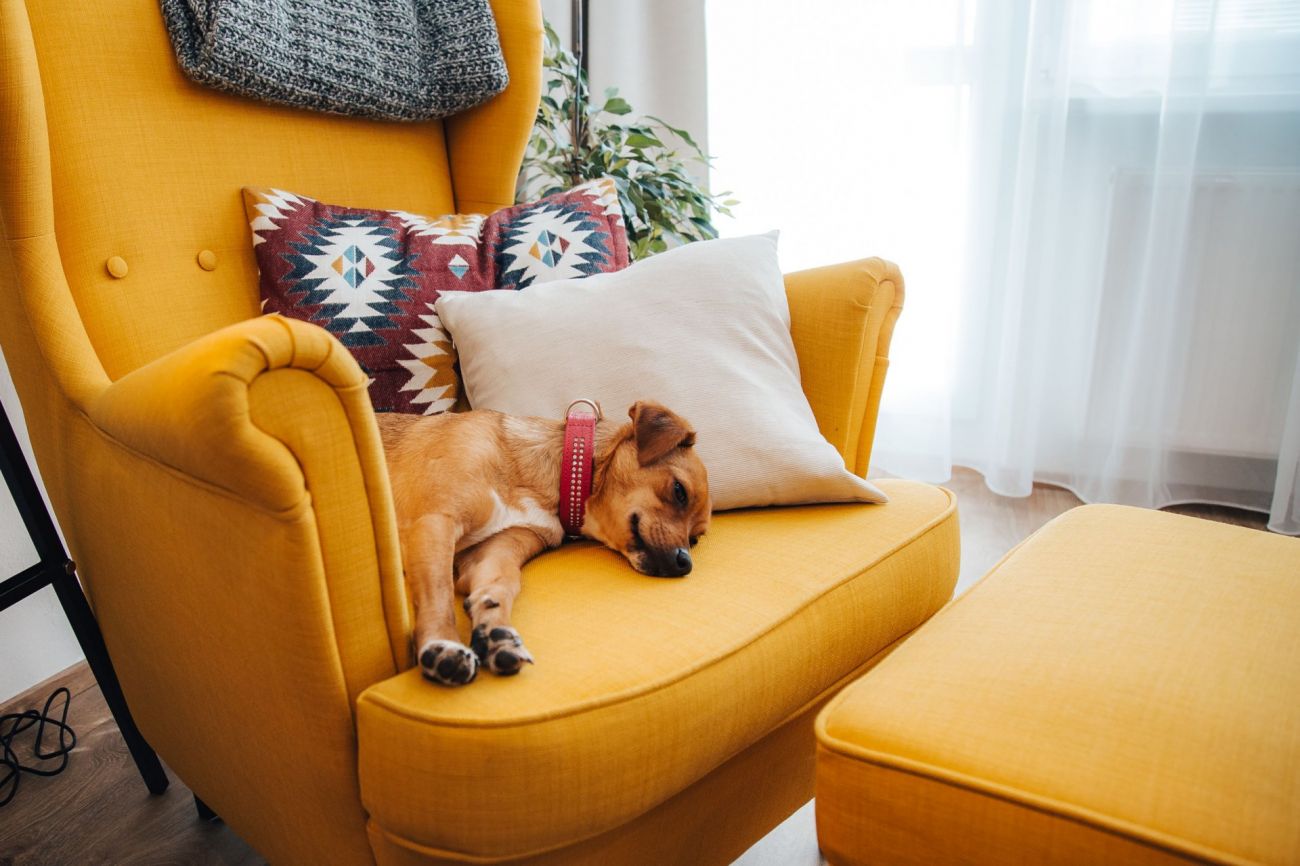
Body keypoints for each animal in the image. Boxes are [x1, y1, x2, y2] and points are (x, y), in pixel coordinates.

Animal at [377, 401, 711, 686]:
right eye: (679, 491)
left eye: (694, 540)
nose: (684, 562)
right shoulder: (436, 522)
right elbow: (439, 592)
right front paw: (442, 643)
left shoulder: (490, 554)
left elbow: (501, 586)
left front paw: (496, 633)